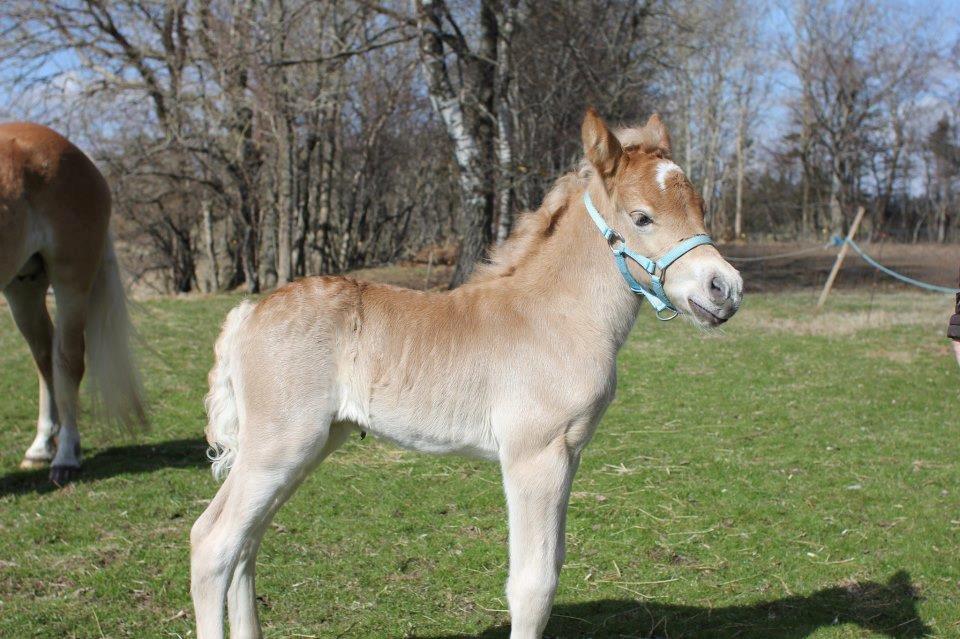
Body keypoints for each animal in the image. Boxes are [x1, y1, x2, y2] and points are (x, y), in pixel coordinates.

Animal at [0, 121, 146, 484]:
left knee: (67, 361)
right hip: (23, 289)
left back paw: (65, 457)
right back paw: (40, 448)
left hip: (71, 283)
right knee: (44, 358)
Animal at [189, 111, 744, 639]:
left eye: (699, 206)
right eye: (641, 217)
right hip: (280, 446)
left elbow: (554, 562)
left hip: (310, 445)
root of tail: (249, 314)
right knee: (213, 542)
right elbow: (533, 584)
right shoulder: (533, 456)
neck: (554, 315)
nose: (725, 289)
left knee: (246, 542)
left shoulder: (569, 454)